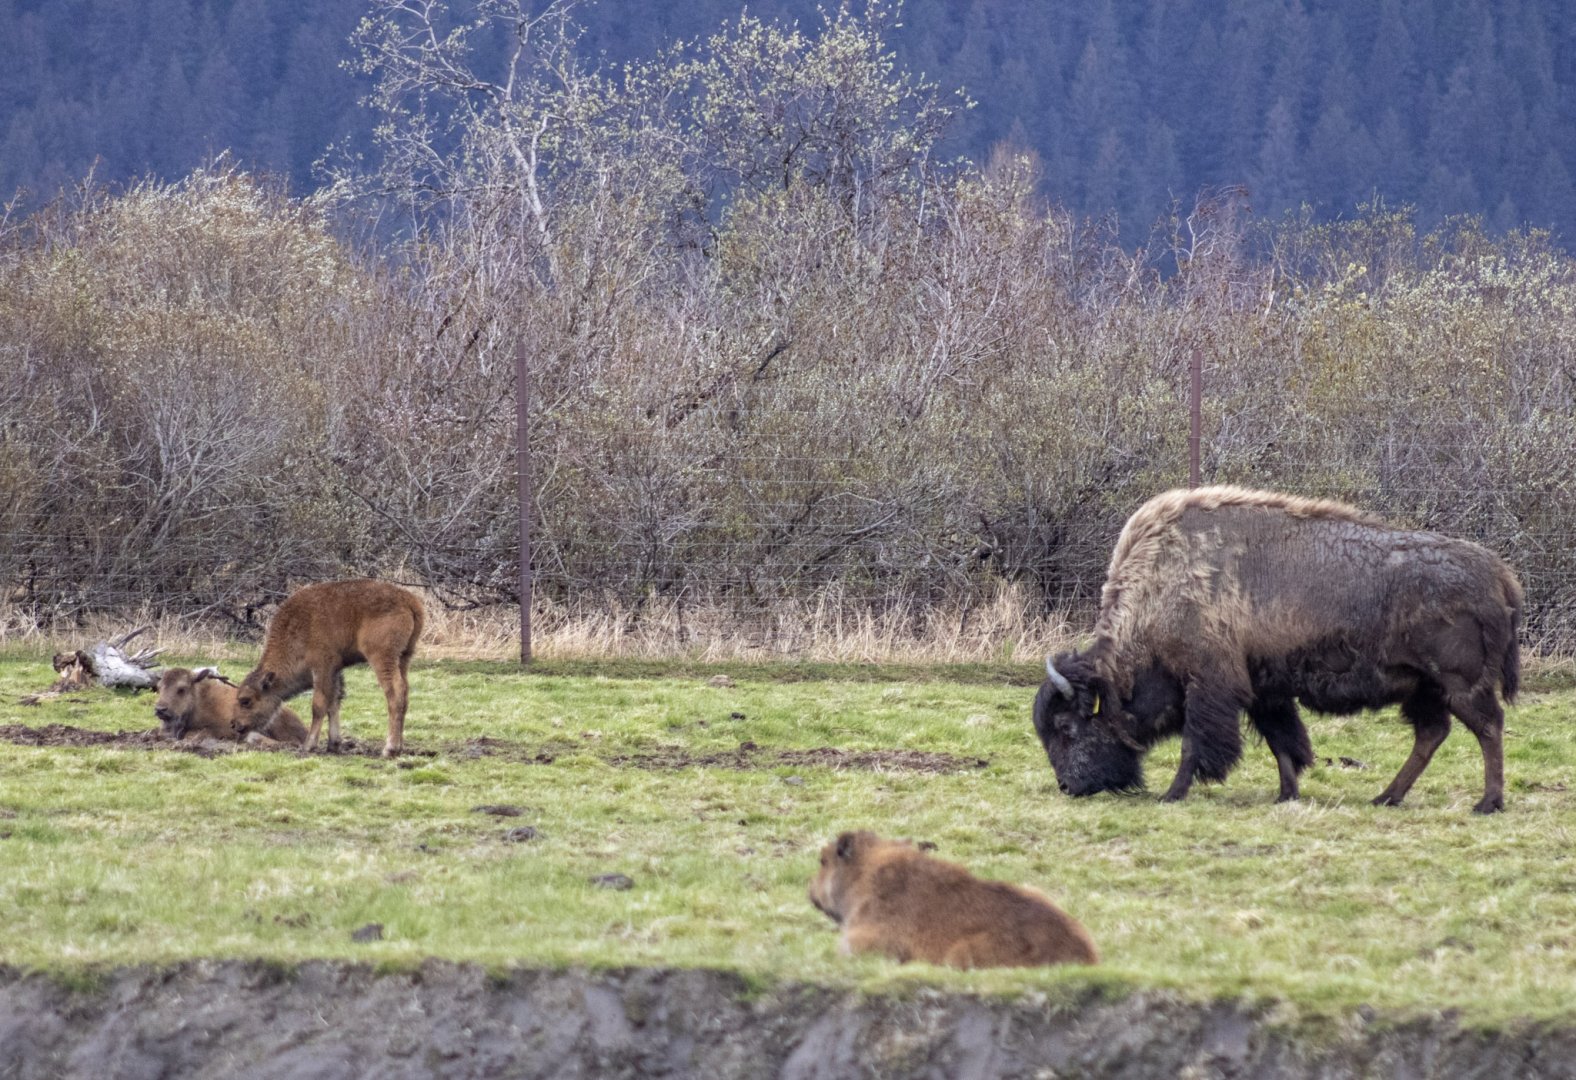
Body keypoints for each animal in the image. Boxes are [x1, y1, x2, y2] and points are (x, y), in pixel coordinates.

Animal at [1033, 486, 1522, 813]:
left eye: (1067, 727)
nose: (1067, 786)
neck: (1161, 591)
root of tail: (1497, 573)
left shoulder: (1210, 686)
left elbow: (1196, 744)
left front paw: (1173, 794)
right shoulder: (1264, 690)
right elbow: (1281, 742)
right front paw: (1287, 794)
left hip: (1459, 684)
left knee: (1488, 728)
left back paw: (1487, 802)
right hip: (1423, 689)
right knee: (1432, 734)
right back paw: (1385, 797)